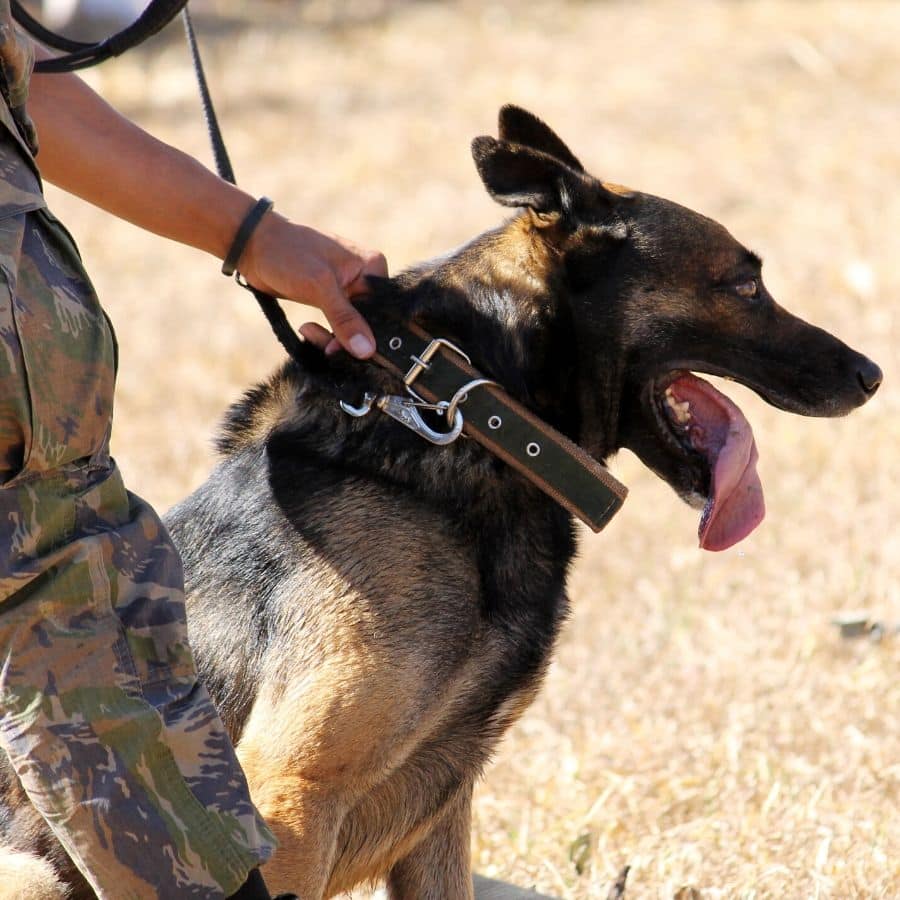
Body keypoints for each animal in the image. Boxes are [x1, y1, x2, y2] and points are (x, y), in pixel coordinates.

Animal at [0, 107, 884, 900]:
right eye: (746, 283)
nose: (873, 373)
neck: (467, 417)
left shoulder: (441, 808)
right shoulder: (290, 796)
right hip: (36, 873)